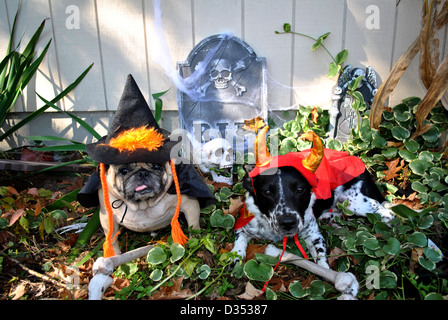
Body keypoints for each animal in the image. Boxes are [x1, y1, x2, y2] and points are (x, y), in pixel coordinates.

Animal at [233, 165, 394, 268]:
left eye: (300, 189)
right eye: (267, 192)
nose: (288, 223)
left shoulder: (314, 235)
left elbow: (321, 260)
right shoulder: (242, 226)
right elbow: (239, 242)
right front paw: (235, 257)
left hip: (356, 202)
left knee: (387, 213)